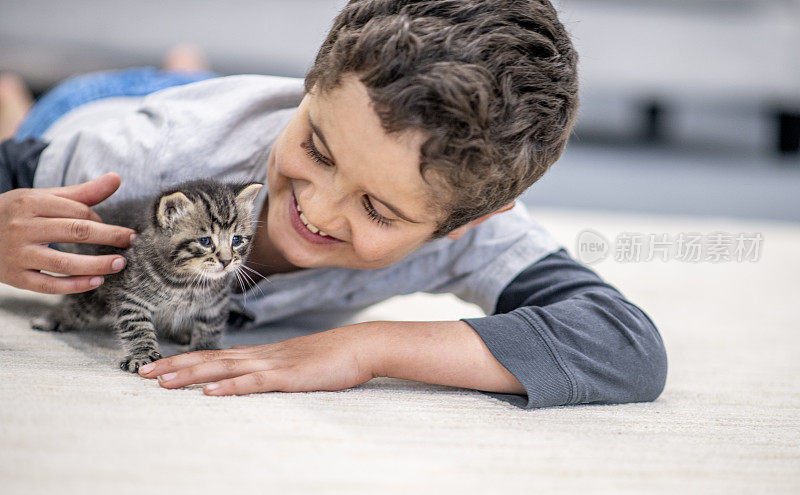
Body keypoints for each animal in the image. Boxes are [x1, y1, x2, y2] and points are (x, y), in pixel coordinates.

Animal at [32, 178, 262, 372]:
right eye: (205, 241)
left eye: (237, 240)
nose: (226, 261)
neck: (187, 282)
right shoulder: (129, 294)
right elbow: (136, 326)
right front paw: (142, 355)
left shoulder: (216, 302)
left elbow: (211, 326)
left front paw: (205, 350)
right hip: (94, 294)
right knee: (76, 306)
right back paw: (50, 319)